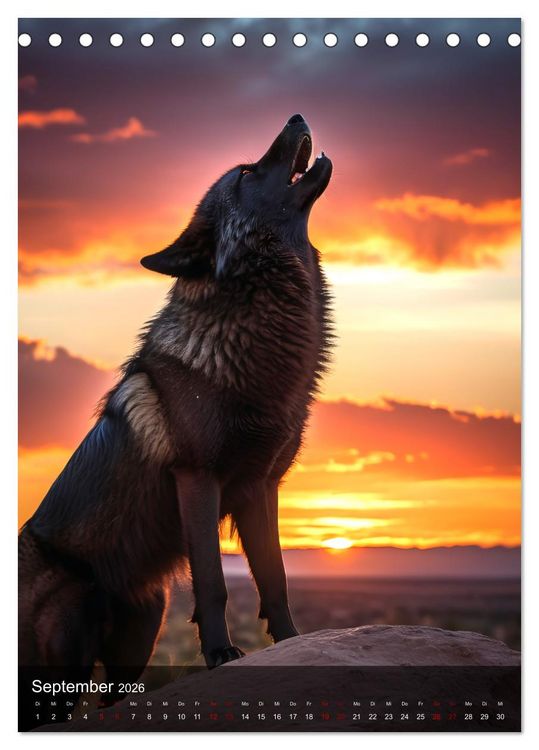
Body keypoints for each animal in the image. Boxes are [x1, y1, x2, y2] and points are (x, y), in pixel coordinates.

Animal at [19, 114, 333, 681]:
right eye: (247, 172)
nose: (297, 117)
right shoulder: (198, 479)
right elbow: (212, 582)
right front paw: (221, 654)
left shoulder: (261, 487)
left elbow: (274, 577)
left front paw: (291, 641)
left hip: (141, 635)